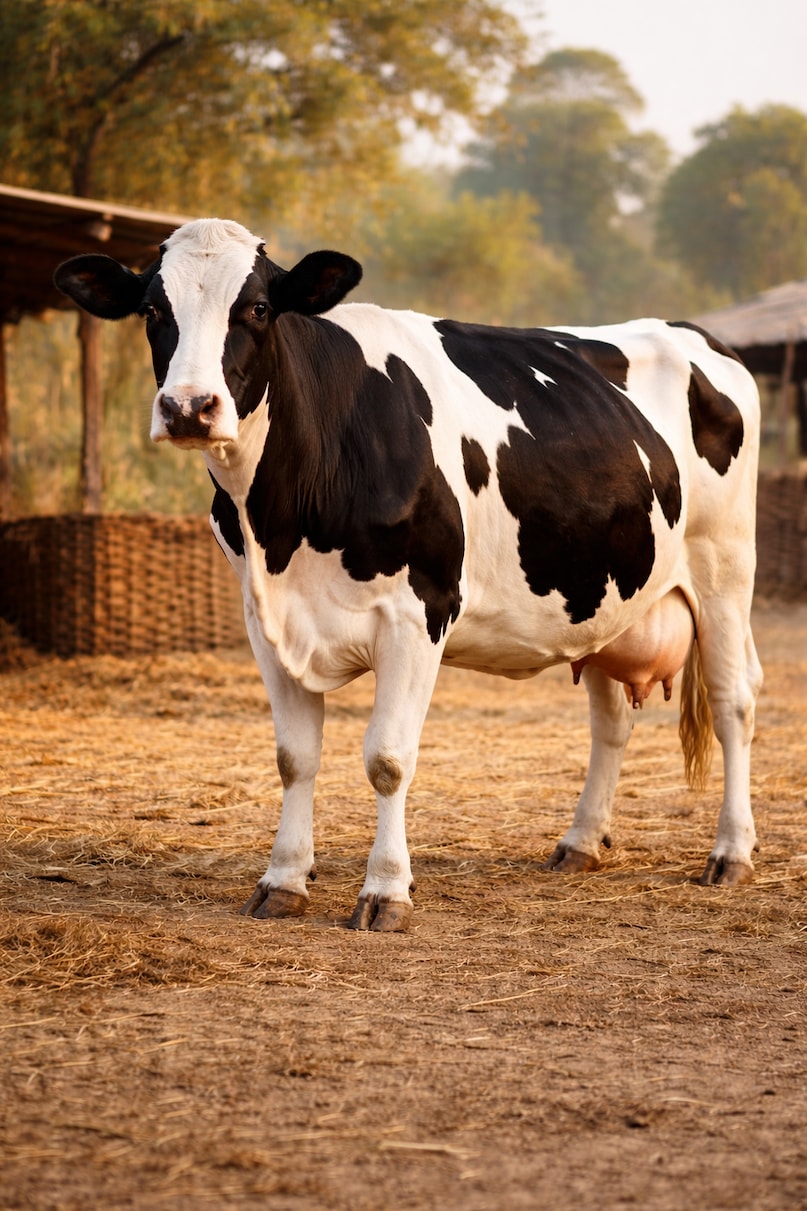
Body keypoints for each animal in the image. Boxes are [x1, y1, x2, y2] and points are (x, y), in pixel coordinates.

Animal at [54, 218, 763, 932]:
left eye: (255, 308)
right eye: (153, 310)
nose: (189, 407)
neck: (289, 519)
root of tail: (692, 332)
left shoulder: (420, 611)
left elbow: (388, 759)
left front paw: (385, 890)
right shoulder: (266, 618)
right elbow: (294, 757)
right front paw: (283, 879)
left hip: (724, 568)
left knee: (734, 701)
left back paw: (731, 853)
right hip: (603, 592)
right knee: (611, 720)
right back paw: (580, 843)